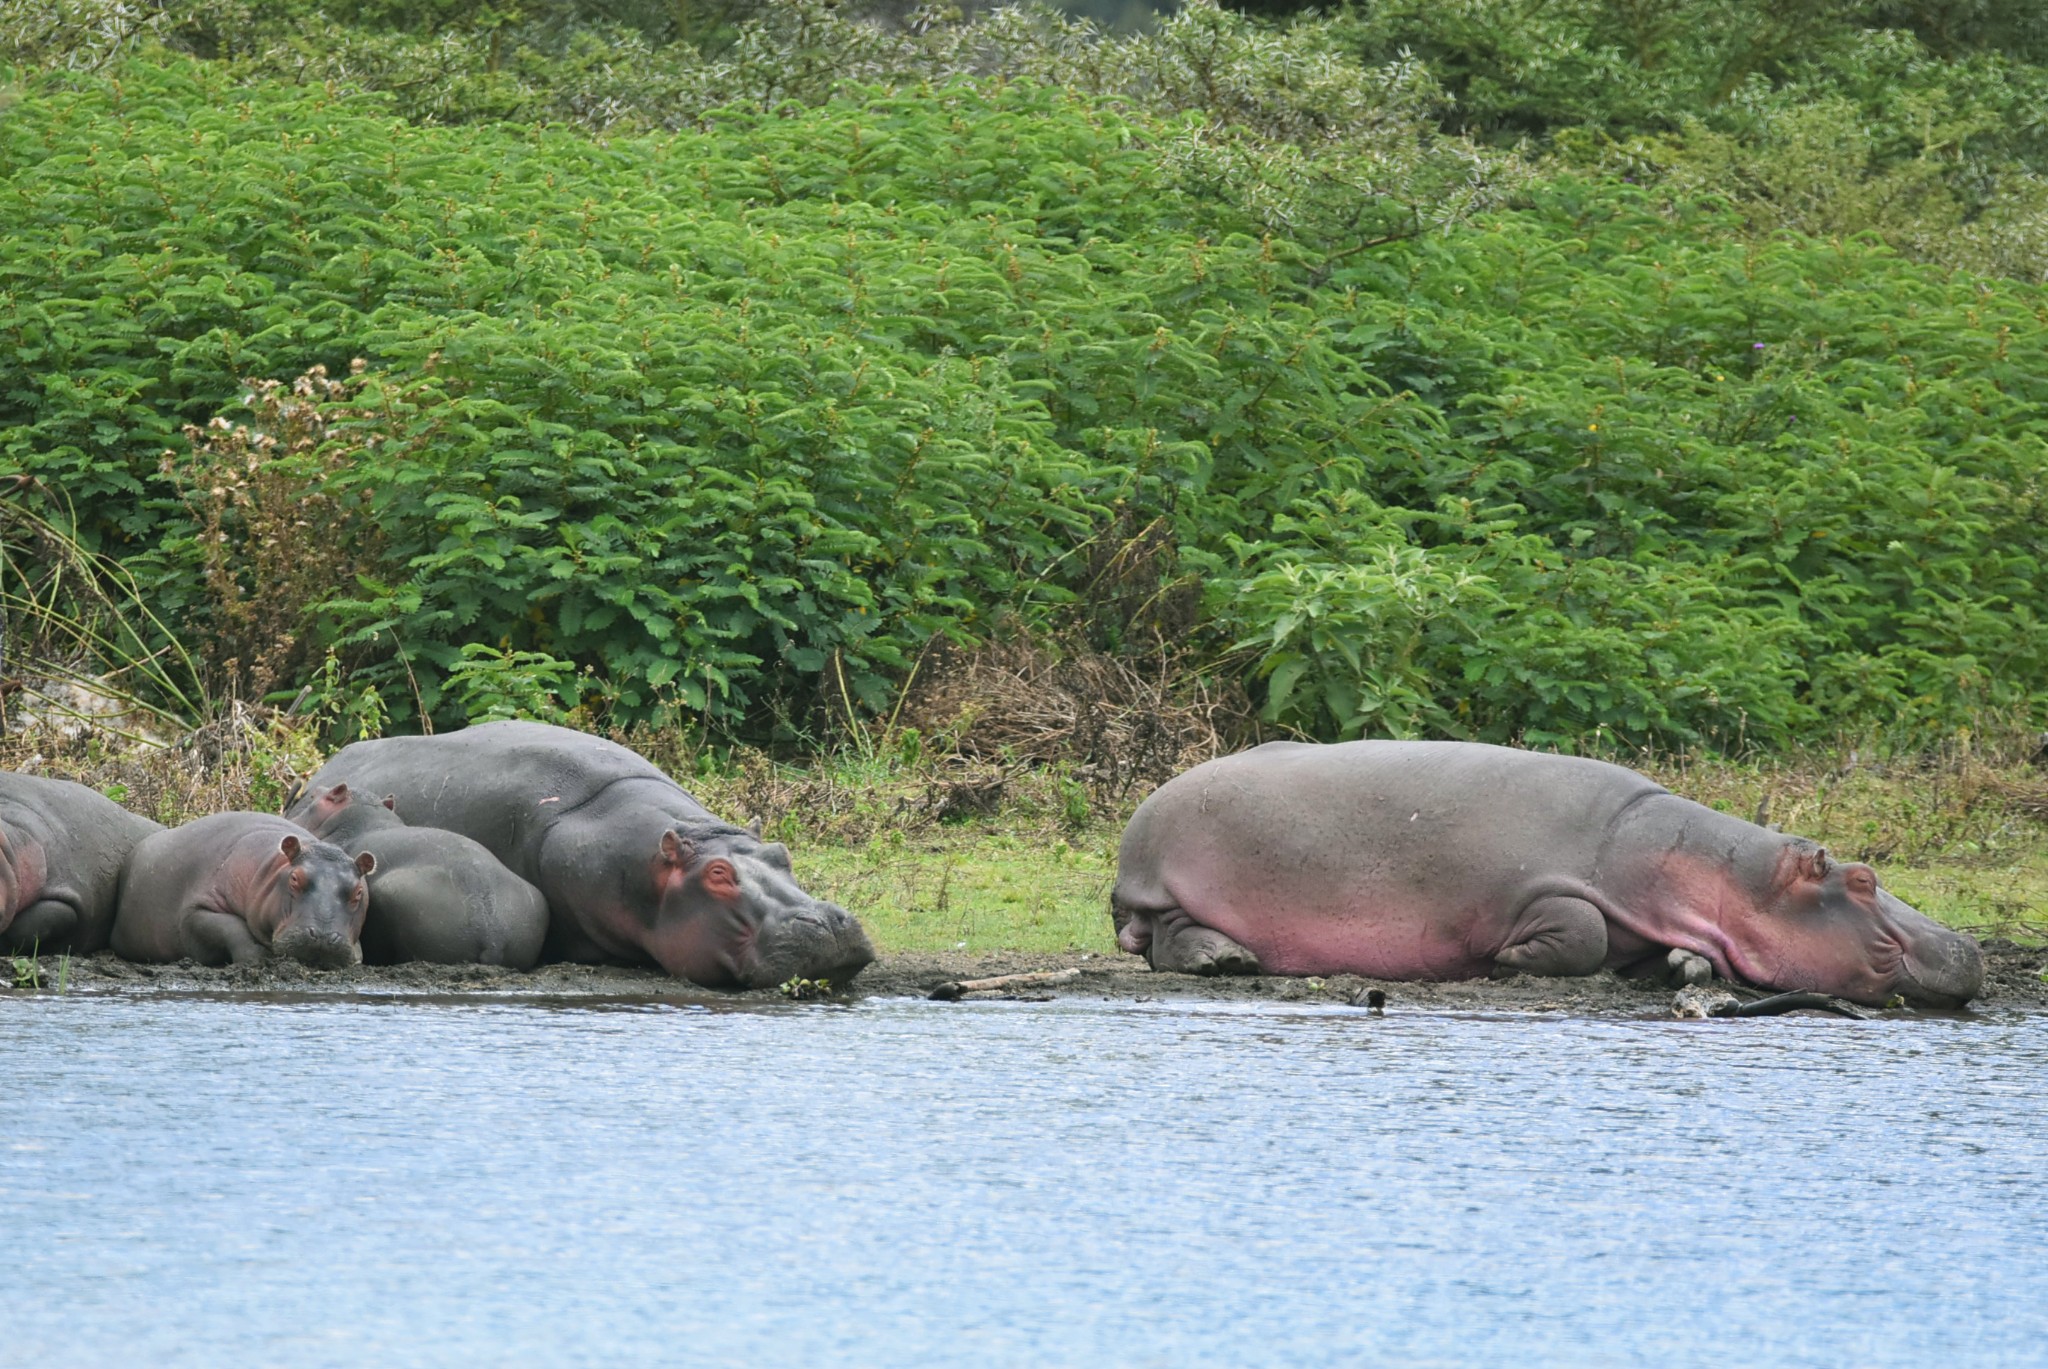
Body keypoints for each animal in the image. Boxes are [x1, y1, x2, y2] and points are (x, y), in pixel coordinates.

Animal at [1114, 741, 1990, 1012]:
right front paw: (1504, 959)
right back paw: (1226, 958)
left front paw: (1684, 965)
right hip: (1171, 881)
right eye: (1865, 879)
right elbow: (1583, 927)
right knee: (1165, 936)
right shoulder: (1551, 887)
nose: (1973, 946)